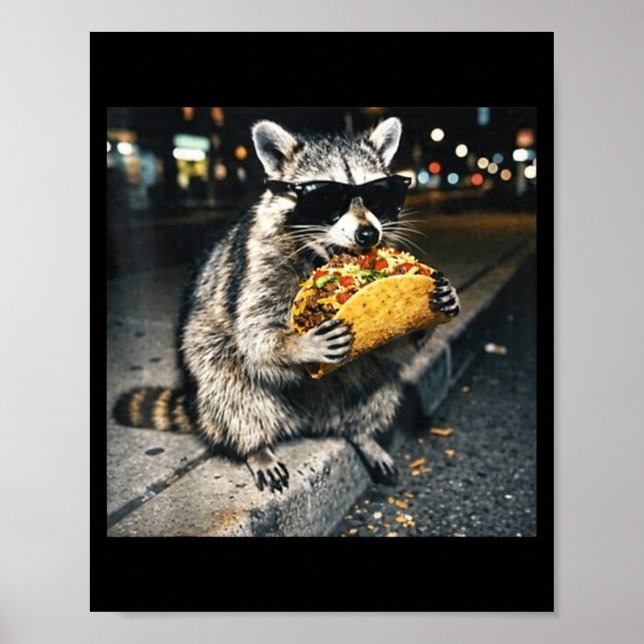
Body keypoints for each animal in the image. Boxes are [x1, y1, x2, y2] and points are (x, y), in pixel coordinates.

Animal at [114, 117, 460, 492]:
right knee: (228, 382)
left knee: (376, 381)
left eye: (378, 196)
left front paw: (427, 317)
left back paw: (361, 434)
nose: (368, 234)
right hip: (206, 348)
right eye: (325, 198)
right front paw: (295, 345)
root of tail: (308, 418)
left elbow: (387, 348)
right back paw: (256, 448)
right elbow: (254, 335)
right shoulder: (257, 264)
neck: (317, 257)